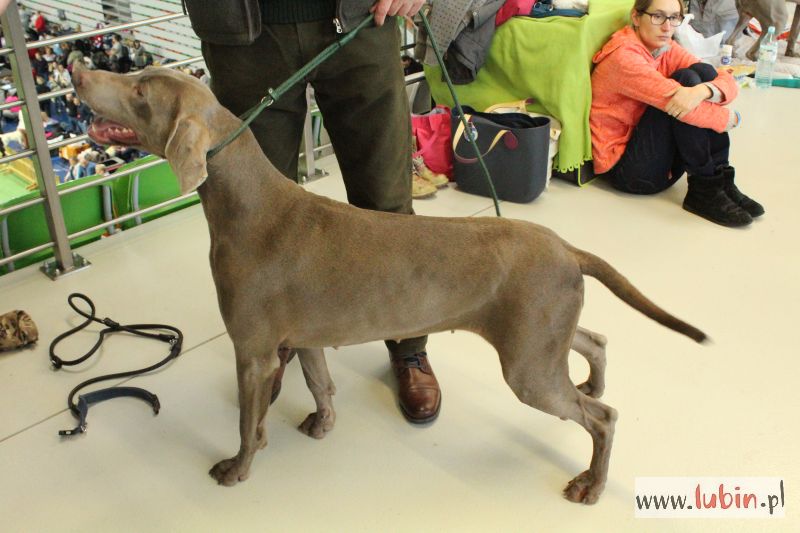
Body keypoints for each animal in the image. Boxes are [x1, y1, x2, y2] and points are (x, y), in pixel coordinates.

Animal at [72, 65, 706, 504]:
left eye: (141, 94)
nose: (78, 70)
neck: (249, 205)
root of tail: (567, 247)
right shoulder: (304, 336)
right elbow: (322, 385)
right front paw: (322, 424)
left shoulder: (252, 352)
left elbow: (248, 425)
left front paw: (238, 469)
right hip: (541, 333)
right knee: (594, 340)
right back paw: (593, 381)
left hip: (528, 362)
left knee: (604, 418)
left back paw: (590, 483)